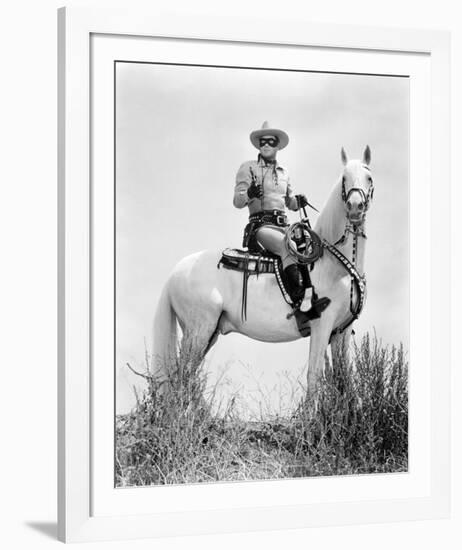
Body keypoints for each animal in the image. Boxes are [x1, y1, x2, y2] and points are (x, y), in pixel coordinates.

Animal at [153, 147, 374, 396]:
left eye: (369, 177)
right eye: (344, 178)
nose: (355, 207)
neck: (335, 267)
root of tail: (176, 271)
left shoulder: (341, 331)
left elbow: (344, 380)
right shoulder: (322, 325)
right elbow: (314, 376)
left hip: (207, 333)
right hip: (198, 330)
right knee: (179, 379)